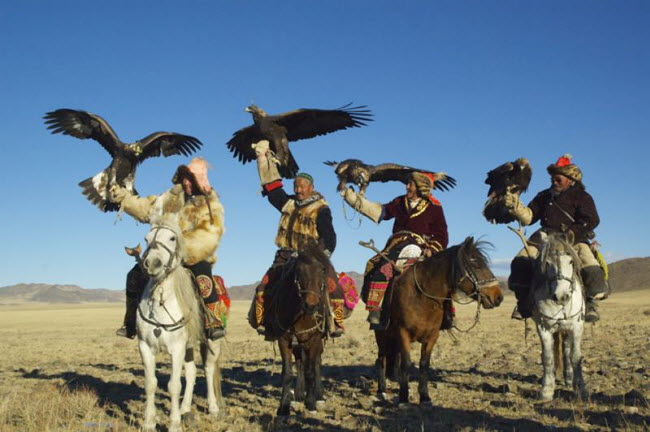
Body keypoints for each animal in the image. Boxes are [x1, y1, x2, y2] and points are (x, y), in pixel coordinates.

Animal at [137, 213, 223, 432]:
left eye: (172, 238)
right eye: (146, 239)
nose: (152, 263)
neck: (160, 300)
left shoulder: (176, 348)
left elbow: (173, 385)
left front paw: (174, 424)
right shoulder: (145, 347)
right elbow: (151, 383)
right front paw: (149, 422)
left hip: (212, 343)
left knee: (208, 370)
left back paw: (213, 408)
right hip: (189, 346)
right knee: (192, 373)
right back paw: (185, 408)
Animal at [262, 243, 334, 416]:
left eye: (322, 270)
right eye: (299, 270)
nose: (311, 305)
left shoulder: (314, 339)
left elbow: (311, 371)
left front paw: (311, 404)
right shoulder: (284, 339)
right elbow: (287, 373)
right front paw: (283, 407)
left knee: (315, 364)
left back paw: (318, 396)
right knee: (301, 362)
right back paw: (300, 394)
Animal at [372, 236, 504, 404]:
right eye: (476, 265)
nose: (498, 297)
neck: (422, 297)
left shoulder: (432, 336)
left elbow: (424, 364)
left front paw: (424, 396)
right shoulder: (403, 333)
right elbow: (406, 364)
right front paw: (403, 398)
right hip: (382, 335)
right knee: (381, 359)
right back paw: (381, 390)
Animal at [532, 233, 588, 402]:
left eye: (570, 261)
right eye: (547, 263)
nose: (561, 296)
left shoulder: (577, 327)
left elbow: (575, 357)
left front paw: (581, 389)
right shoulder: (543, 328)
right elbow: (548, 357)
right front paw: (546, 390)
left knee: (568, 350)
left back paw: (570, 380)